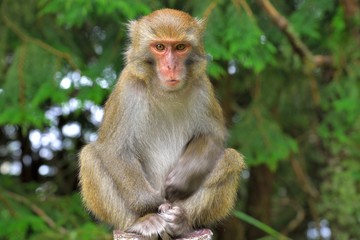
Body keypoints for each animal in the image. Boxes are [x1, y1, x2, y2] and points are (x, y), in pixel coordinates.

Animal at [79, 8, 245, 239]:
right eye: (160, 47)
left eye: (180, 47)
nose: (171, 66)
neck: (164, 92)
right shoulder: (127, 89)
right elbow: (114, 148)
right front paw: (151, 204)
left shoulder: (202, 87)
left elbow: (212, 137)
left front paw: (181, 180)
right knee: (90, 156)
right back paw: (143, 221)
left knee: (231, 158)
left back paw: (182, 221)